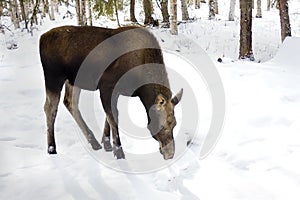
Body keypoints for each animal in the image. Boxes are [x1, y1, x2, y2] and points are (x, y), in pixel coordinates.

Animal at [39, 25, 183, 159]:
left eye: (175, 124)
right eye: (162, 125)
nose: (170, 154)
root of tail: (42, 38)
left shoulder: (115, 91)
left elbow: (108, 118)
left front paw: (106, 143)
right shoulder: (106, 87)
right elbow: (113, 117)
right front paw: (119, 152)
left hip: (73, 80)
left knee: (70, 102)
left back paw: (94, 142)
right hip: (53, 77)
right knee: (50, 108)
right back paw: (51, 148)